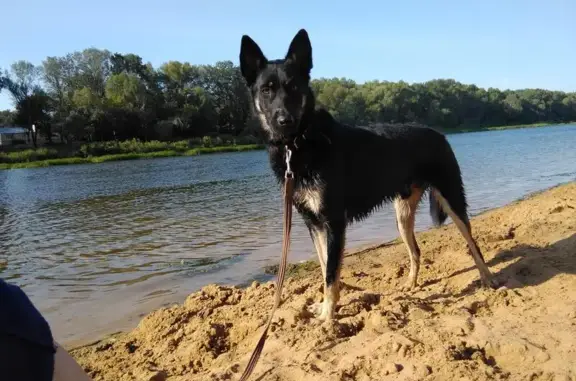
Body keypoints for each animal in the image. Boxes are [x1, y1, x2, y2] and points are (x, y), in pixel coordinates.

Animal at [238, 29, 496, 320]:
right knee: (416, 251)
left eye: (293, 87)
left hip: (452, 199)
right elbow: (325, 266)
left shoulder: (333, 222)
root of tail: (438, 133)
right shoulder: (313, 223)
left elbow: (331, 273)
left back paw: (488, 278)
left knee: (473, 243)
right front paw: (326, 306)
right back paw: (411, 284)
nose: (284, 121)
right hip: (402, 215)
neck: (299, 144)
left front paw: (328, 315)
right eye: (266, 90)